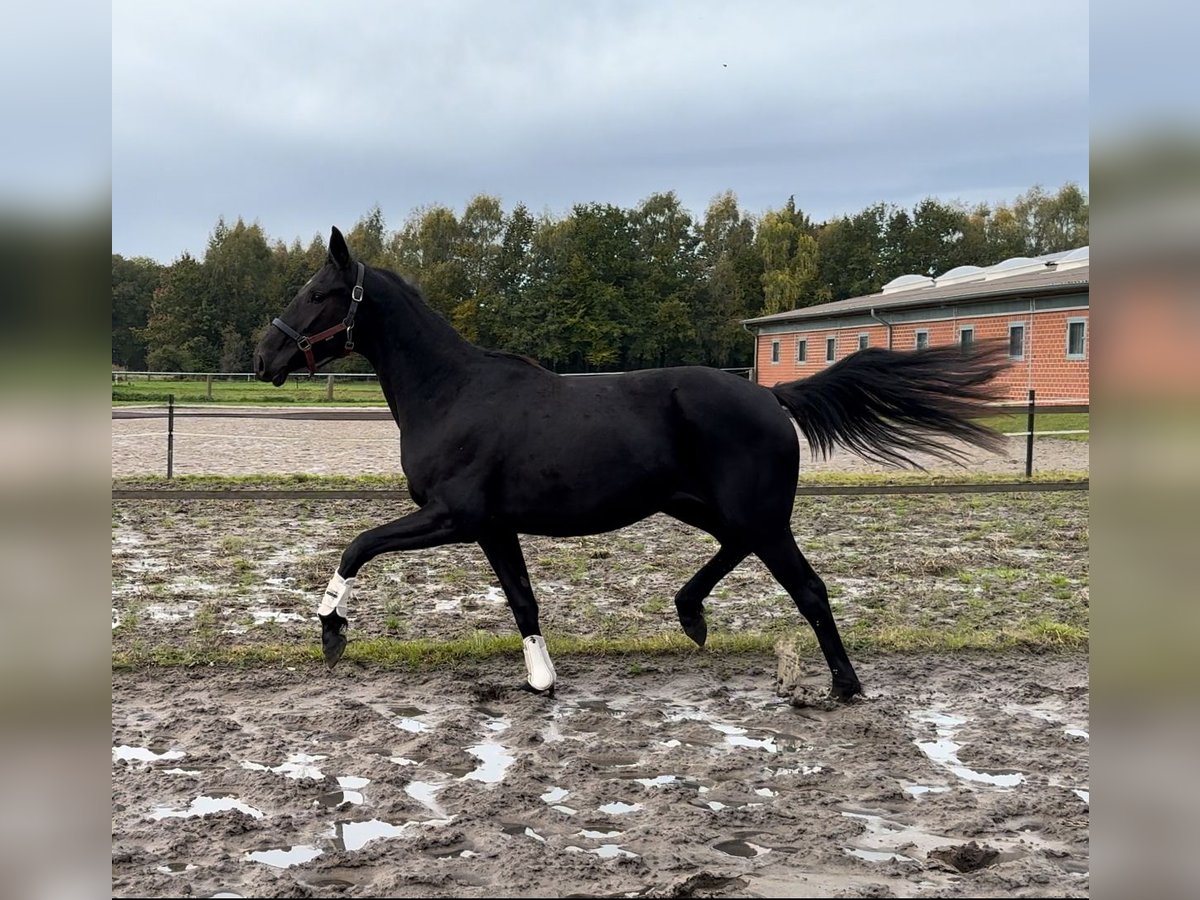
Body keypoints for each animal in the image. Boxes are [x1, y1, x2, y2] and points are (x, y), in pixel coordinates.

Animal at [258, 229, 1008, 700]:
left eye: (319, 293)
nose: (265, 356)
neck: (452, 392)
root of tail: (769, 396)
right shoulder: (493, 527)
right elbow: (522, 599)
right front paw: (541, 680)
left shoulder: (452, 516)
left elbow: (357, 546)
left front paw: (331, 631)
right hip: (706, 508)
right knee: (735, 552)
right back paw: (690, 614)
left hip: (760, 517)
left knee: (810, 590)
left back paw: (844, 687)